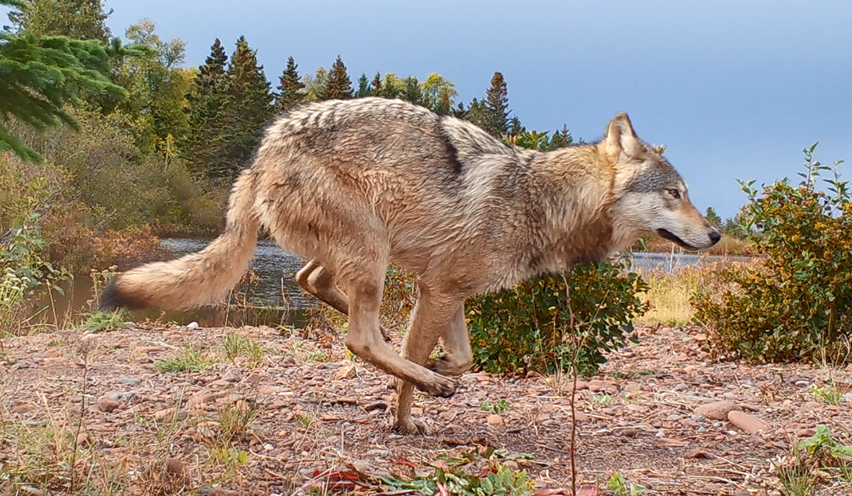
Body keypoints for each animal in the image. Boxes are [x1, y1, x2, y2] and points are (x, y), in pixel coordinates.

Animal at [100, 96, 720, 434]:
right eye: (675, 194)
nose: (715, 234)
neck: (540, 201)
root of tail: (262, 156)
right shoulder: (439, 289)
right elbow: (421, 366)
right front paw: (406, 415)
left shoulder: (446, 291)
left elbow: (464, 358)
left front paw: (436, 372)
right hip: (371, 251)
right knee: (358, 337)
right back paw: (421, 375)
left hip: (363, 257)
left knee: (316, 285)